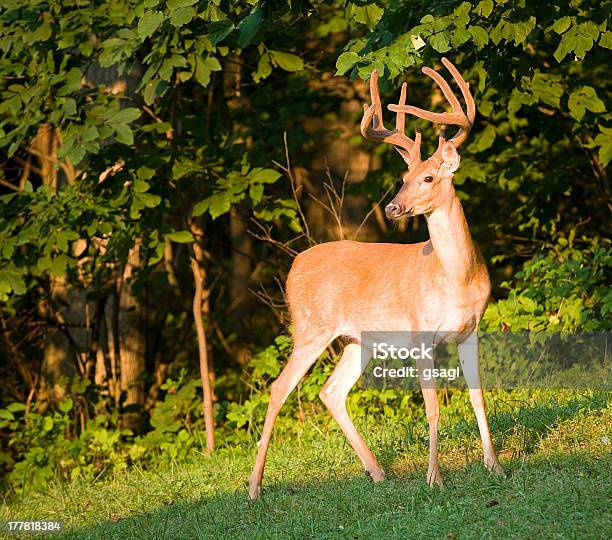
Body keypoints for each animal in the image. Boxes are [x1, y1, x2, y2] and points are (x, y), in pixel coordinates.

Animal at [246, 57, 504, 500]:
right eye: (403, 179)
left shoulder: (471, 330)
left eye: (428, 178)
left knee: (331, 390)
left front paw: (495, 466)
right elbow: (433, 406)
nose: (393, 207)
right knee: (279, 388)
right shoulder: (420, 332)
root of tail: (293, 268)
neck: (455, 277)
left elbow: (478, 397)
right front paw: (435, 478)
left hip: (357, 339)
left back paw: (378, 471)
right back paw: (254, 487)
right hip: (311, 325)